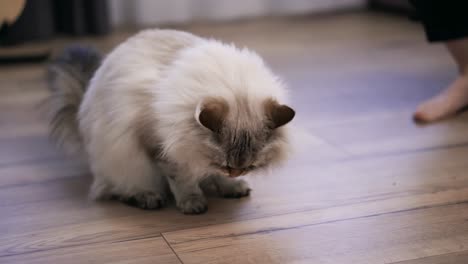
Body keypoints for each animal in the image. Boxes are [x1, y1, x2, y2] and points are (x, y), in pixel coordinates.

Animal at [47, 29, 296, 214]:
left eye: (249, 167)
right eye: (228, 165)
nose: (236, 174)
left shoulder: (198, 154)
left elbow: (211, 174)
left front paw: (229, 186)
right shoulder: (162, 148)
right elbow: (183, 179)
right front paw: (192, 202)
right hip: (124, 161)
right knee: (117, 190)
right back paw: (149, 198)